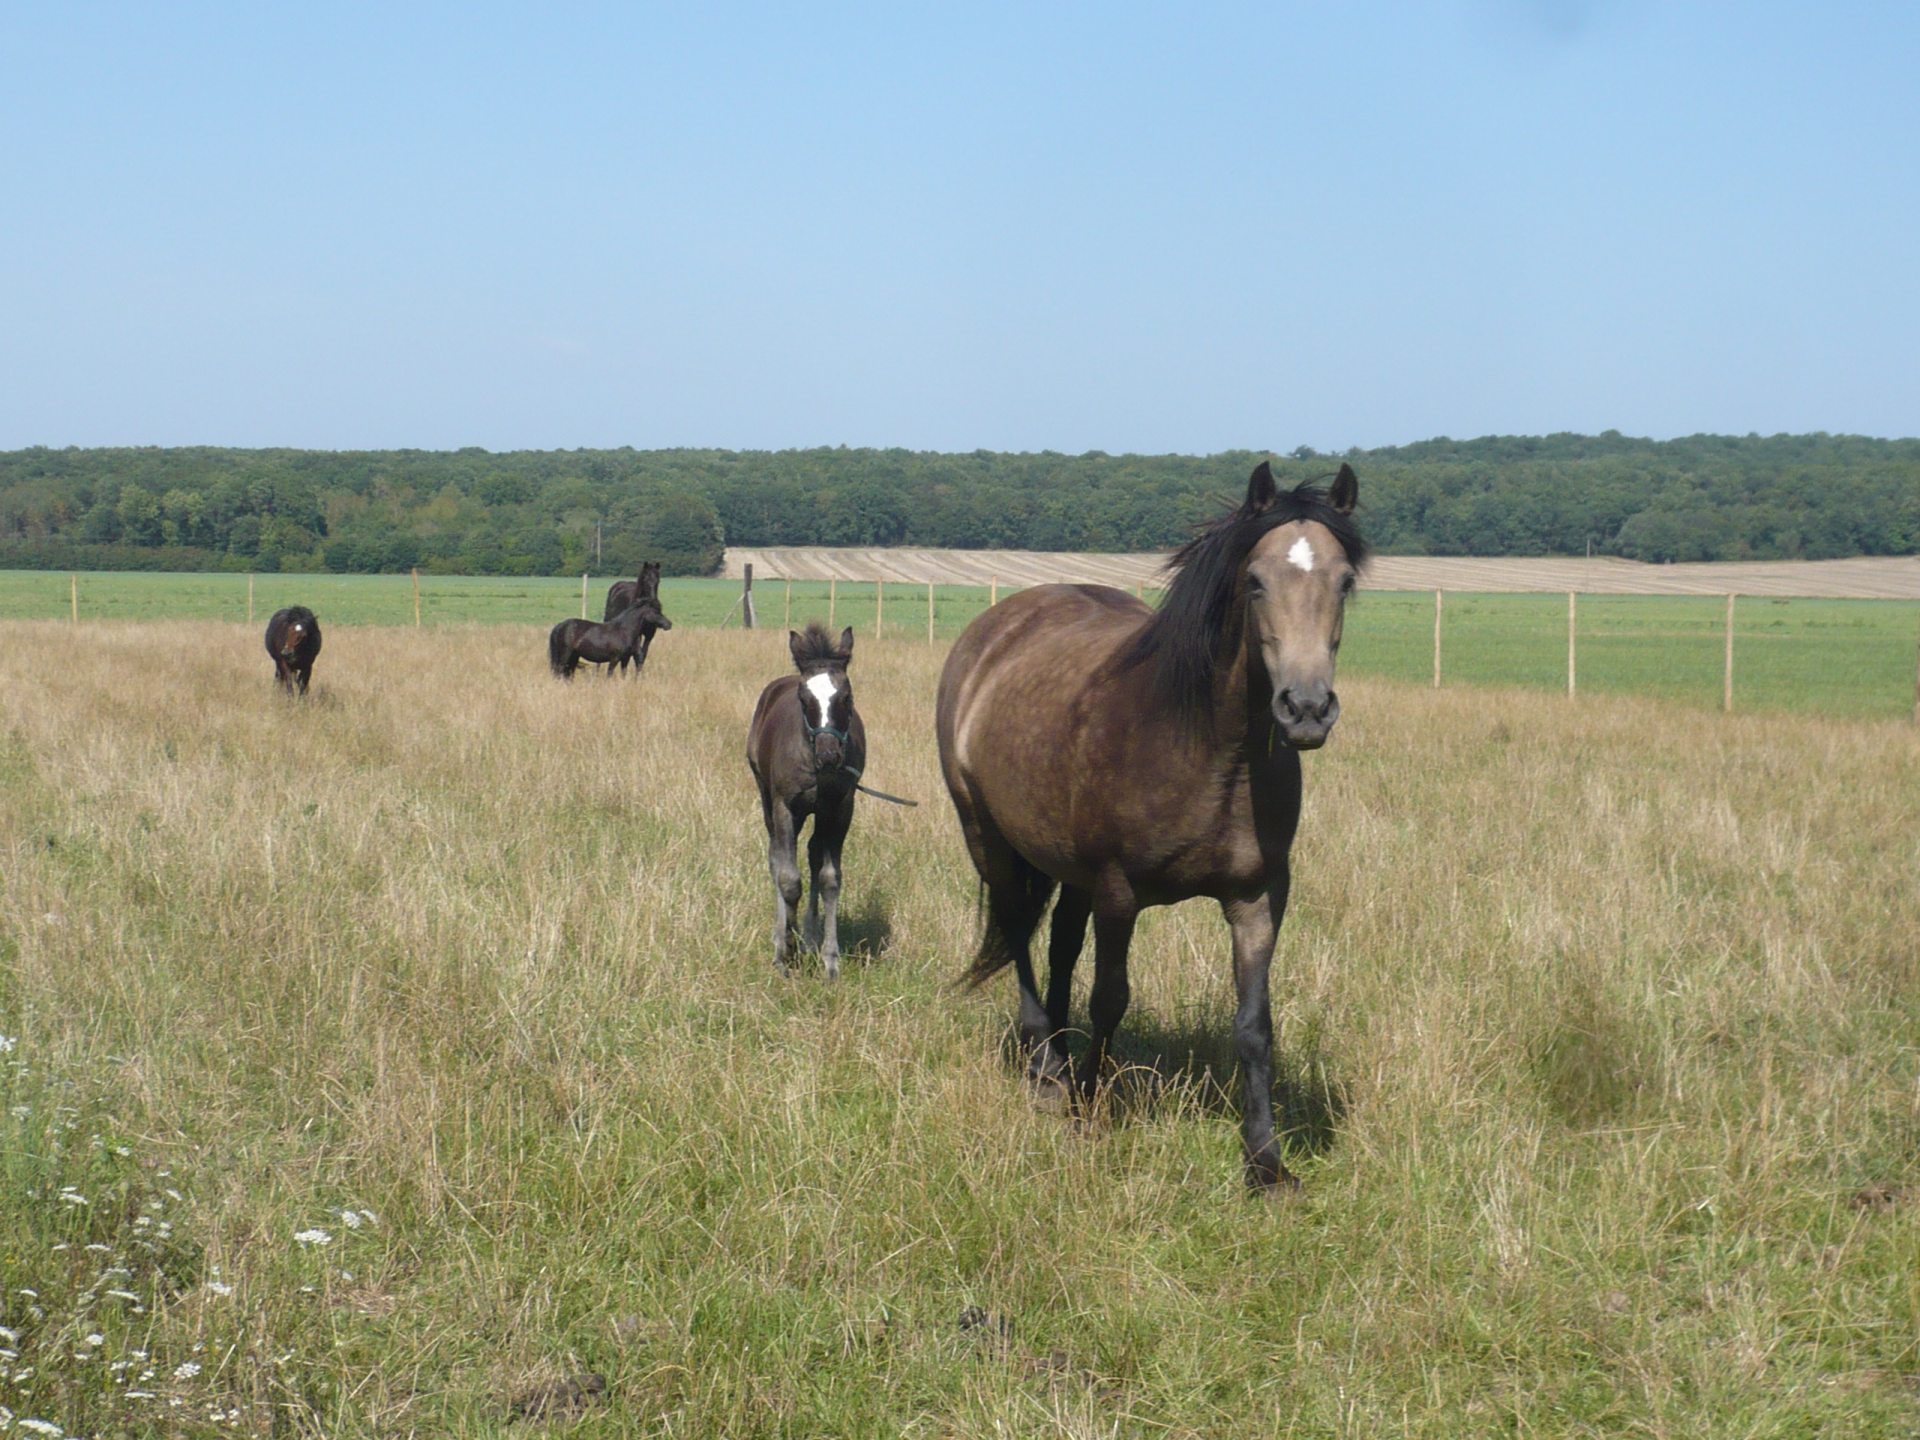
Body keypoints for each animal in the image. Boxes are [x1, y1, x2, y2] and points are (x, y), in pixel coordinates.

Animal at [744, 622, 867, 983]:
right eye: (804, 698)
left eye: (846, 697)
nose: (828, 755)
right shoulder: (786, 807)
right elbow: (788, 879)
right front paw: (785, 950)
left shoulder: (841, 808)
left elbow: (829, 878)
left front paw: (830, 959)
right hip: (767, 798)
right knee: (776, 857)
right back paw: (784, 936)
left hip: (820, 813)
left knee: (812, 854)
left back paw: (810, 937)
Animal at [933, 462, 1367, 1198]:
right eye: (1256, 582)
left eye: (1343, 582)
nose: (1306, 709)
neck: (1213, 749)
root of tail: (994, 628)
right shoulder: (1118, 892)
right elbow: (1111, 998)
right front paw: (1087, 1110)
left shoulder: (1260, 898)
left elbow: (1254, 1025)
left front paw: (1266, 1161)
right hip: (989, 838)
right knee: (1019, 935)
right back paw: (1046, 1070)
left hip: (1067, 868)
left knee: (1059, 947)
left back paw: (1059, 1052)